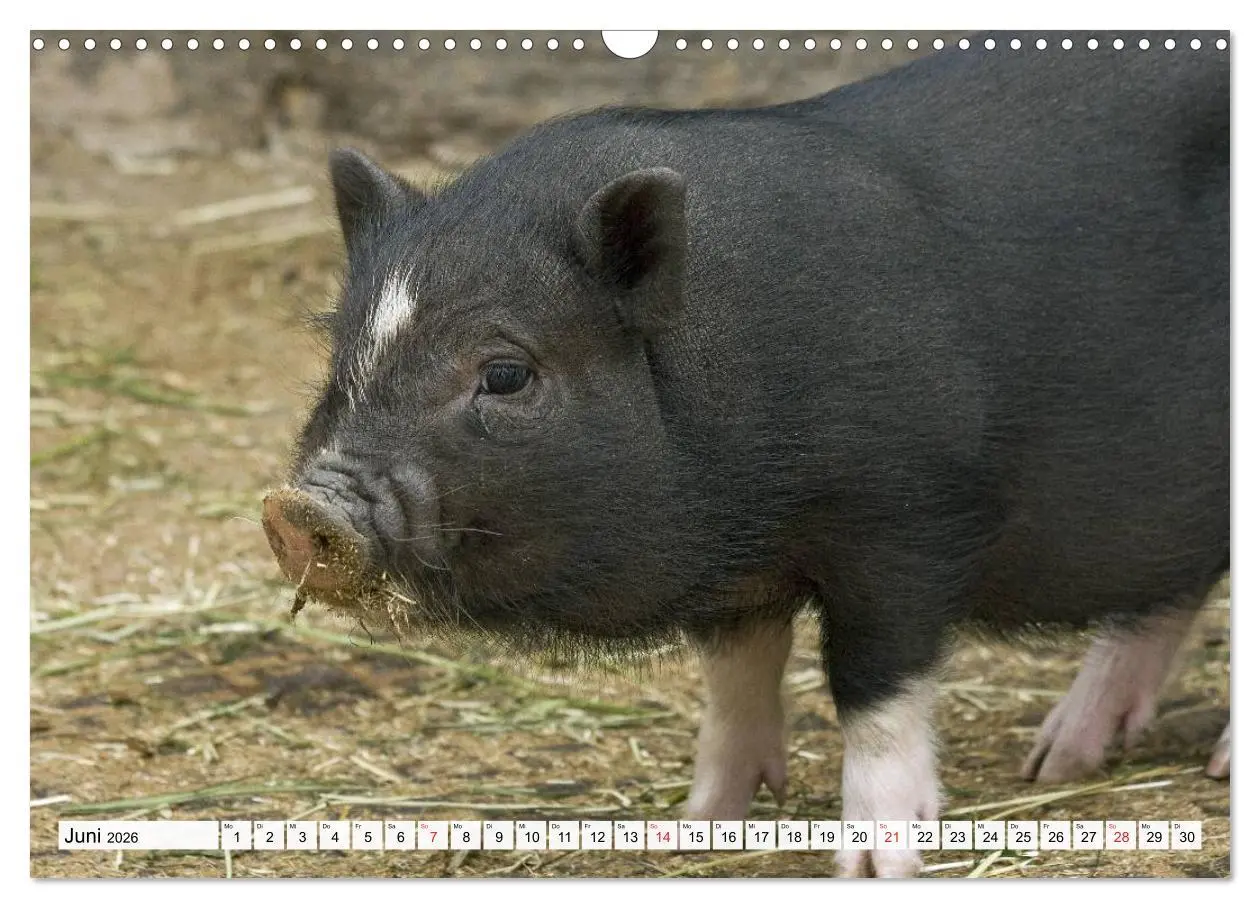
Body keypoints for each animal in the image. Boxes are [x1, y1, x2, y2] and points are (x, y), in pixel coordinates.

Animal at [262, 36, 1229, 877]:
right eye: (342, 348)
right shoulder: (735, 571)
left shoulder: (908, 520)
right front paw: (696, 829)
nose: (298, 509)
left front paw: (874, 865)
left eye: (504, 372)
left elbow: (873, 687)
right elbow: (733, 679)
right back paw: (1057, 762)